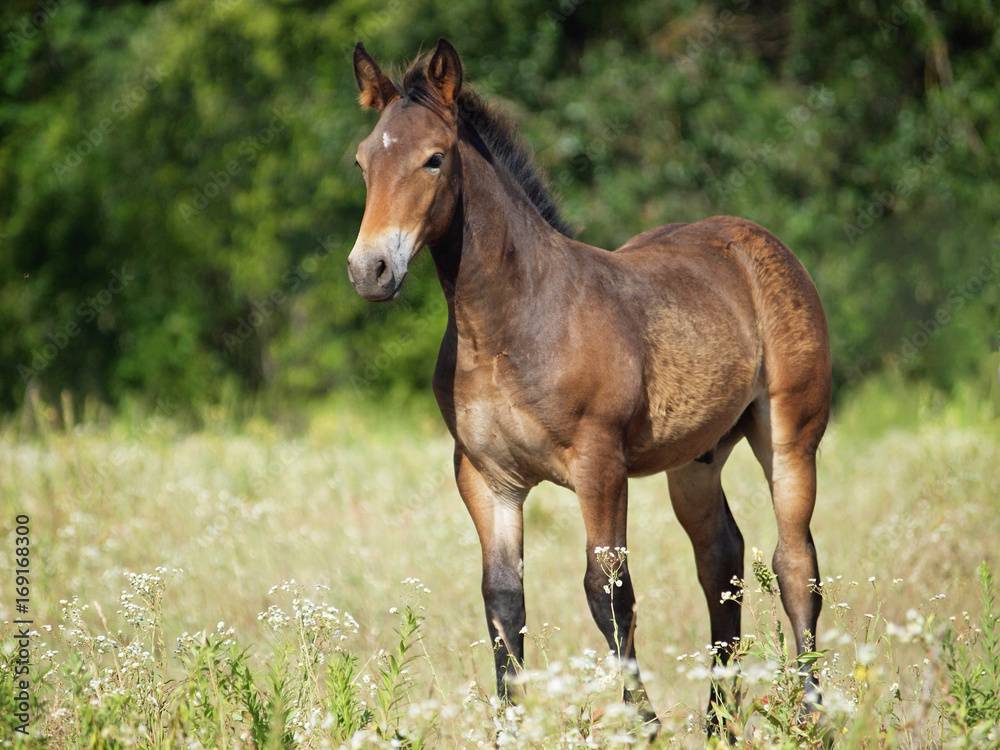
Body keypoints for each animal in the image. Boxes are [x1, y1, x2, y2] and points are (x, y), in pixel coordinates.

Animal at [347, 38, 831, 734]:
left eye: (434, 159)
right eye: (363, 161)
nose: (371, 270)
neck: (506, 326)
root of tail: (760, 241)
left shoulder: (599, 464)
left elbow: (608, 591)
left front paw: (645, 723)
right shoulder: (484, 477)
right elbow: (504, 602)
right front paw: (510, 727)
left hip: (792, 436)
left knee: (795, 564)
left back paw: (814, 714)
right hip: (695, 460)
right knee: (722, 559)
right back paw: (718, 724)